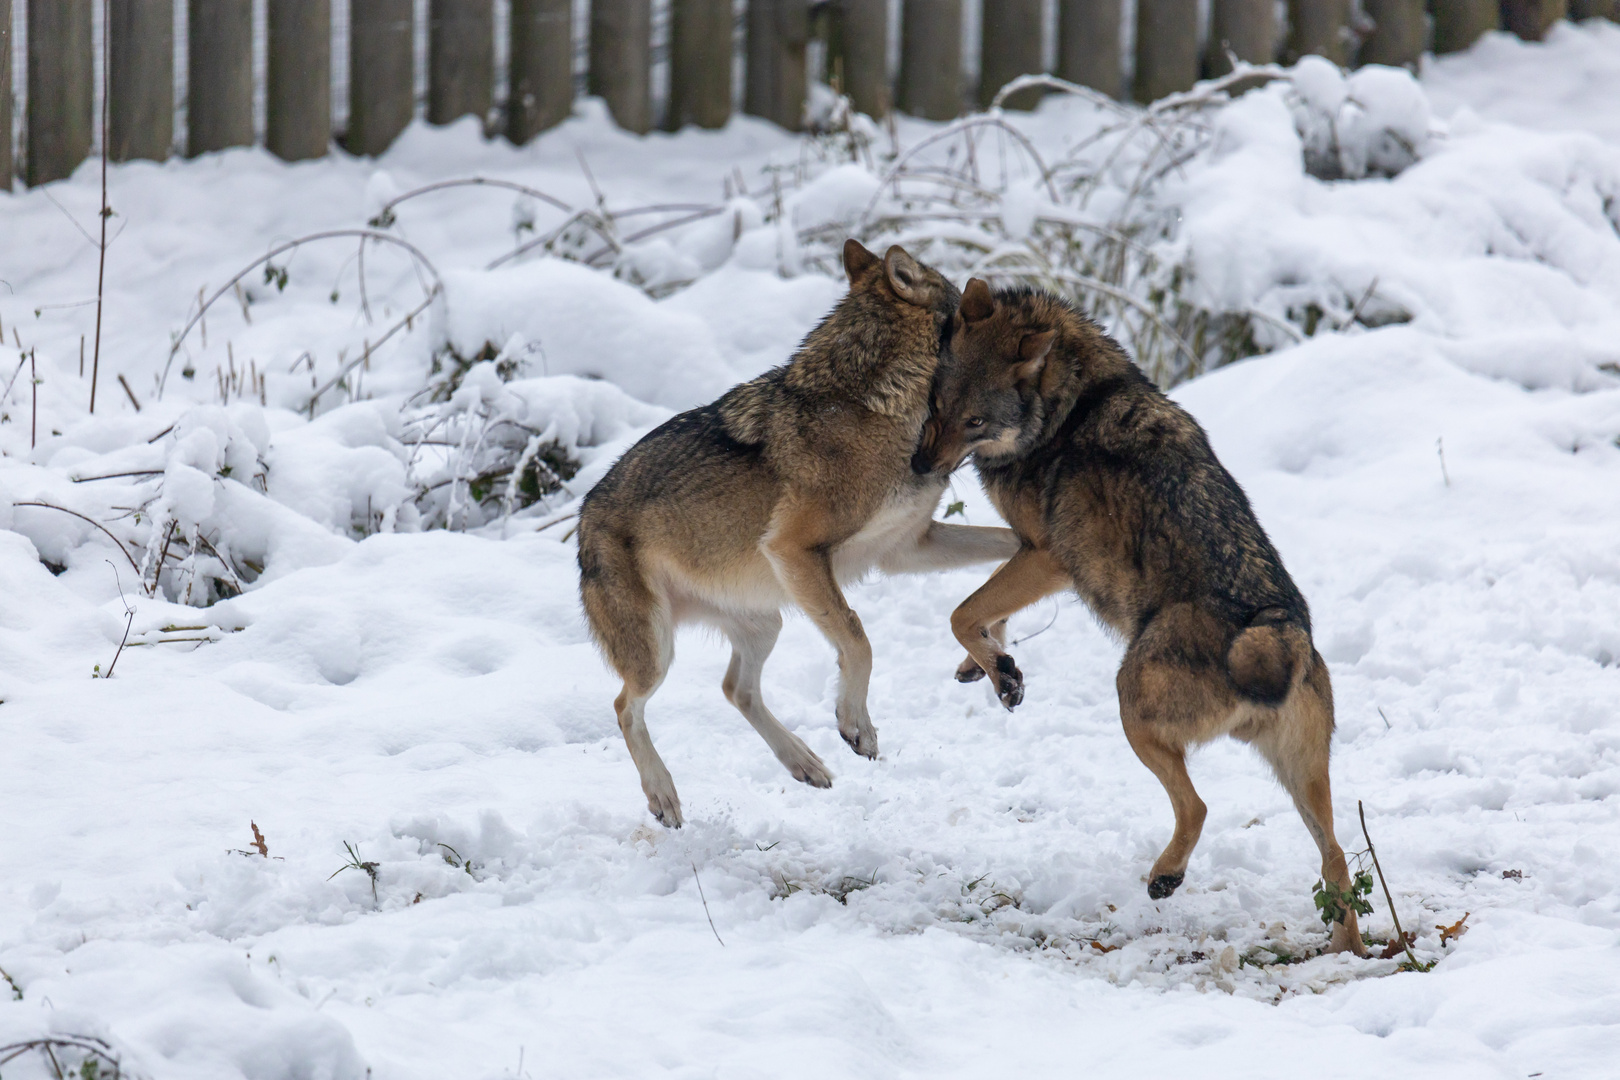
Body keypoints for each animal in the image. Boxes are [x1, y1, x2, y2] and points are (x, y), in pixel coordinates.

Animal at [576, 238, 1017, 829]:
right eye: (967, 301)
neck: (878, 405)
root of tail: (583, 516)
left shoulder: (905, 548)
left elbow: (1014, 548)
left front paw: (995, 644)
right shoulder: (795, 550)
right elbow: (858, 638)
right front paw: (857, 726)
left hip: (767, 624)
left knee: (735, 689)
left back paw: (803, 762)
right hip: (658, 652)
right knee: (627, 706)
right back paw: (663, 794)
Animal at [913, 281, 1367, 952]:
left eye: (975, 421)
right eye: (938, 403)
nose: (921, 466)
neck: (1070, 404)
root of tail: (1279, 628)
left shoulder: (1047, 557)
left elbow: (960, 612)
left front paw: (999, 671)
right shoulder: (1027, 553)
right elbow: (983, 616)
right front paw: (992, 667)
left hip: (1131, 704)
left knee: (1198, 807)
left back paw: (1165, 876)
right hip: (1303, 777)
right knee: (1335, 857)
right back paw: (1348, 955)